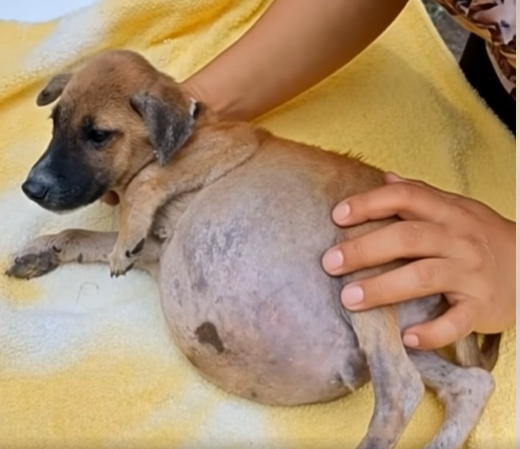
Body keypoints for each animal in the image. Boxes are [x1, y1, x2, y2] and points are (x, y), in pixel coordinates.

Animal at [6, 49, 500, 449]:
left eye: (98, 135)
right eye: (56, 123)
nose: (31, 188)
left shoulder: (229, 147)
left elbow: (145, 184)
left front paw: (122, 232)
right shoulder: (156, 252)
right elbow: (85, 236)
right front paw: (46, 249)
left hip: (360, 268)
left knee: (402, 387)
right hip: (399, 324)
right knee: (470, 383)